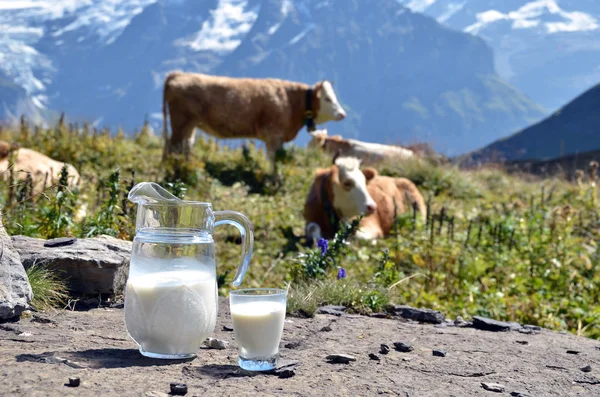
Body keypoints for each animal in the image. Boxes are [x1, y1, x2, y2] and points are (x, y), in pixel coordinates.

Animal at [161, 71, 346, 176]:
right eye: (327, 98)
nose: (342, 114)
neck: (292, 102)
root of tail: (179, 74)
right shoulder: (273, 135)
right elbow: (274, 160)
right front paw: (274, 181)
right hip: (180, 122)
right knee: (173, 146)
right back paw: (174, 170)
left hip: (190, 125)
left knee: (186, 144)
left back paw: (186, 166)